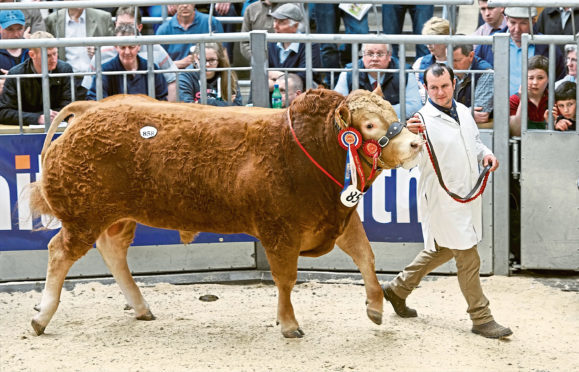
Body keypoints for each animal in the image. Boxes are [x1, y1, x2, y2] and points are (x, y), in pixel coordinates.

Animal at [30, 89, 422, 338]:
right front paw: (288, 324)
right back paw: (42, 316)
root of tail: (89, 110)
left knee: (112, 251)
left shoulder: (337, 217)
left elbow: (366, 257)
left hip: (118, 217)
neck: (307, 151)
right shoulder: (280, 231)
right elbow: (286, 279)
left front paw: (375, 306)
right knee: (59, 253)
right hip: (83, 217)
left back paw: (140, 307)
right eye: (368, 125)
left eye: (392, 113)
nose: (416, 142)